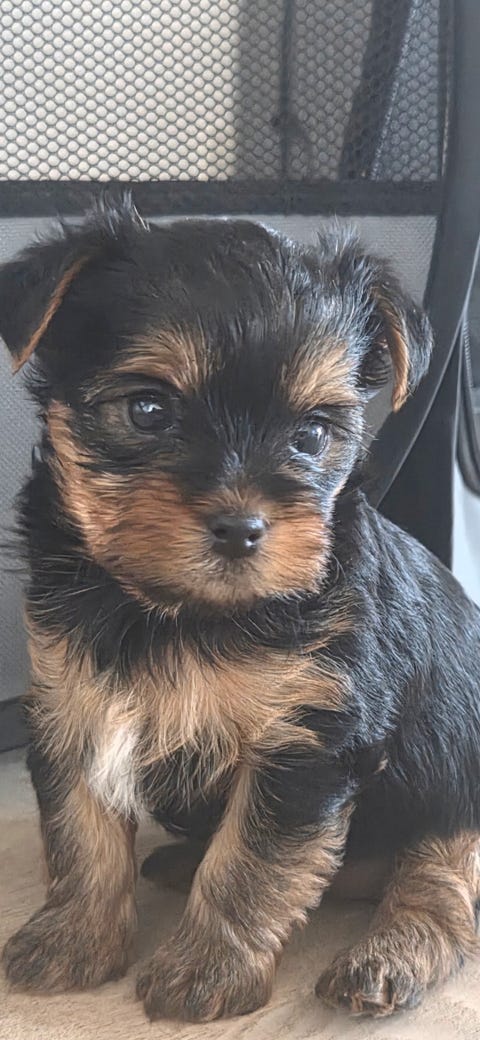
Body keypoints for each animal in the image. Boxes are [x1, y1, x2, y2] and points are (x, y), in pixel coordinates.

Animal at [2, 197, 480, 1023]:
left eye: (312, 434)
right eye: (148, 409)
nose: (241, 526)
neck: (170, 610)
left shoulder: (308, 741)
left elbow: (253, 860)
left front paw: (206, 971)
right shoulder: (71, 699)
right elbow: (80, 831)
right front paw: (73, 940)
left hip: (457, 786)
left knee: (439, 884)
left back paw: (386, 959)